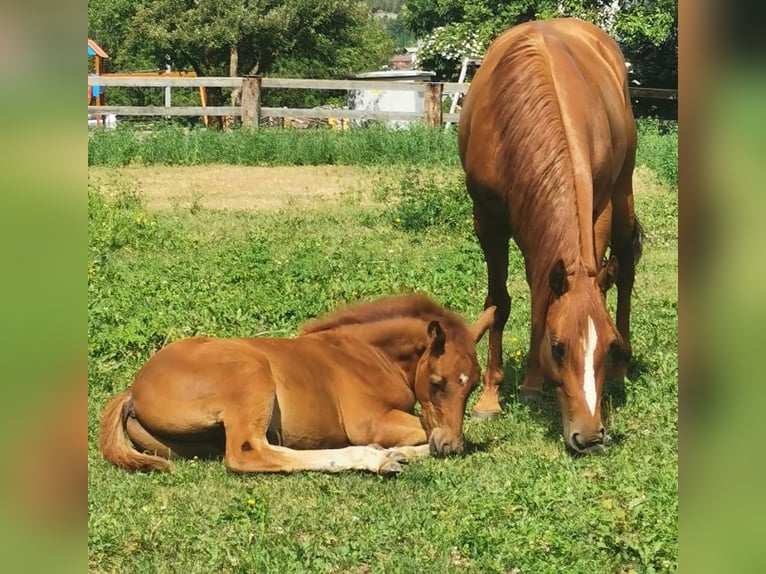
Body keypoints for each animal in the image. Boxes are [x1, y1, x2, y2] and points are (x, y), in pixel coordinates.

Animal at [99, 294, 496, 474]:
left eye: (473, 386)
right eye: (437, 382)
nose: (449, 445)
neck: (368, 353)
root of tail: (133, 390)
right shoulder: (371, 421)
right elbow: (417, 429)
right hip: (251, 375)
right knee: (248, 452)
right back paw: (373, 458)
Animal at [460, 19, 644, 454]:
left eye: (606, 345)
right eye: (558, 347)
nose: (591, 435)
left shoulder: (595, 210)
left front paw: (531, 383)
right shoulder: (488, 219)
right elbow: (501, 301)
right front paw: (492, 397)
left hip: (622, 189)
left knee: (625, 267)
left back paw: (620, 372)